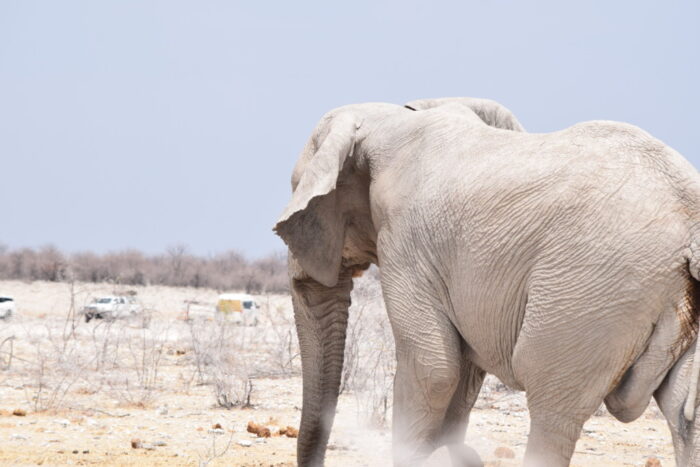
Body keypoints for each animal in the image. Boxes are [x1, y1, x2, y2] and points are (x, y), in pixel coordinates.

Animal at [273, 96, 700, 466]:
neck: (390, 118)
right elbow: (461, 373)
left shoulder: (407, 245)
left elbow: (434, 370)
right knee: (685, 414)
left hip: (593, 290)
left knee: (552, 406)